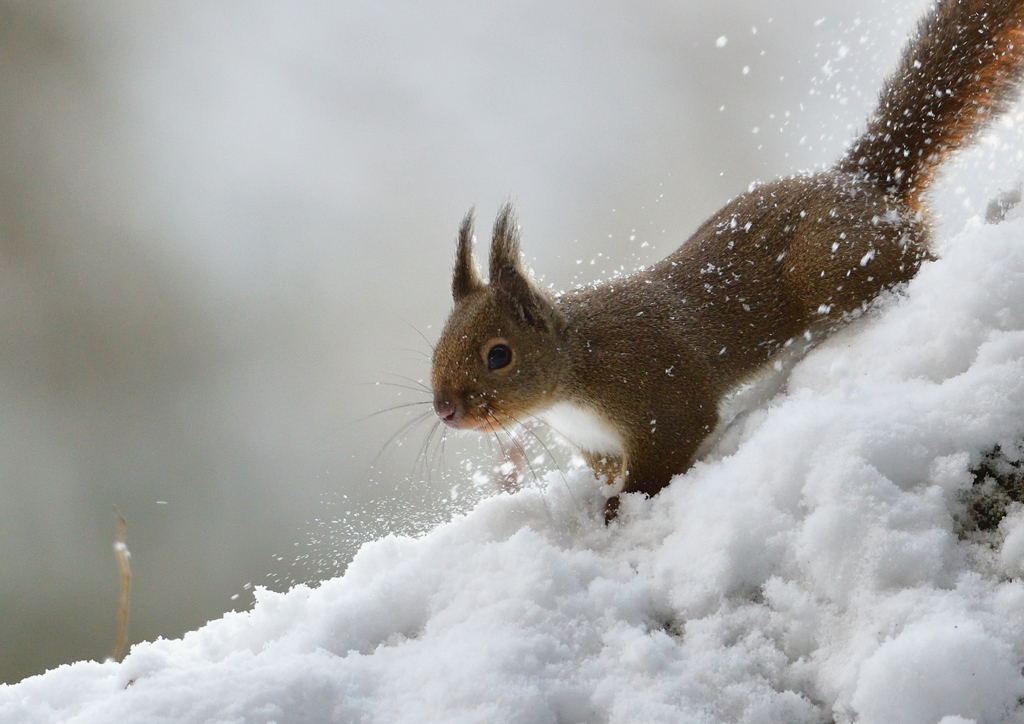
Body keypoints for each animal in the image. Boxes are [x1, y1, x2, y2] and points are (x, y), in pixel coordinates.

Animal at [428, 1, 1024, 520]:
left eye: (499, 355)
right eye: (437, 347)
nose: (444, 409)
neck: (577, 367)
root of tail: (862, 183)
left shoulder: (660, 400)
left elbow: (663, 459)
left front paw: (619, 512)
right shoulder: (597, 448)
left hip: (831, 268)